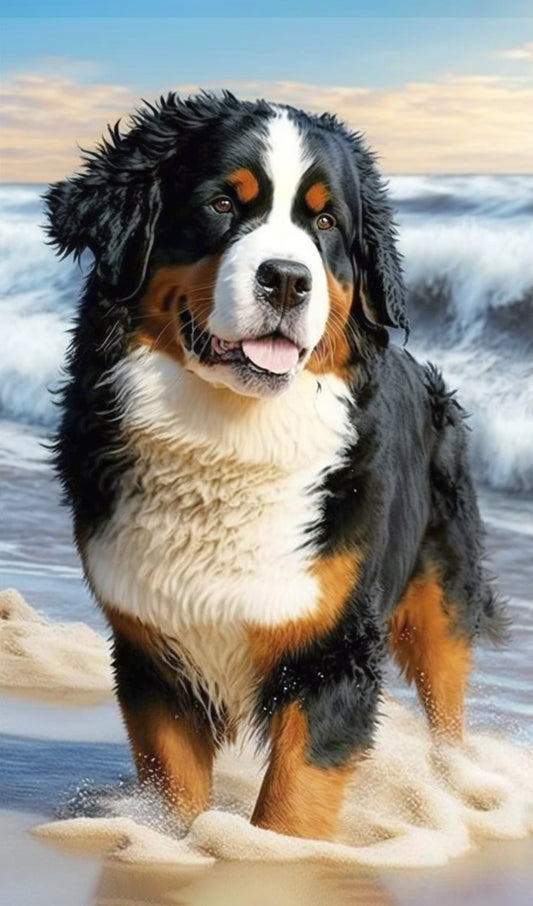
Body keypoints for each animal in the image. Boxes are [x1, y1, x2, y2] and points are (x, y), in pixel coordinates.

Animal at [43, 92, 504, 840]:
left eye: (325, 222)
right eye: (222, 204)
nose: (287, 279)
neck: (230, 435)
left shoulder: (332, 649)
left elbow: (293, 801)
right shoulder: (153, 651)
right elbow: (176, 788)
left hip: (442, 591)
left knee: (446, 700)